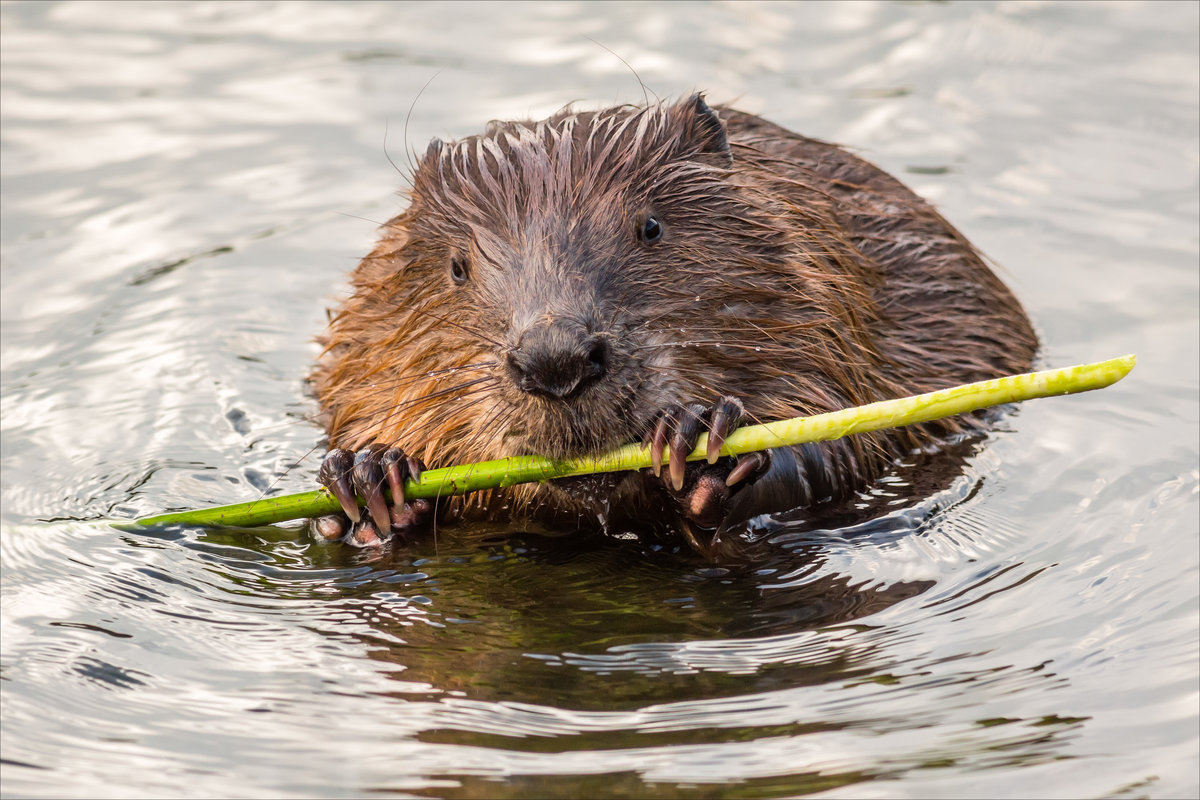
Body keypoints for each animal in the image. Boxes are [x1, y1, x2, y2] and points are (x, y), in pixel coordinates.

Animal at [312, 92, 1041, 556]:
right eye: (458, 266)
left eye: (652, 227)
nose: (554, 360)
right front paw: (372, 478)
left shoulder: (838, 306)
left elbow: (840, 439)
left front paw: (703, 442)